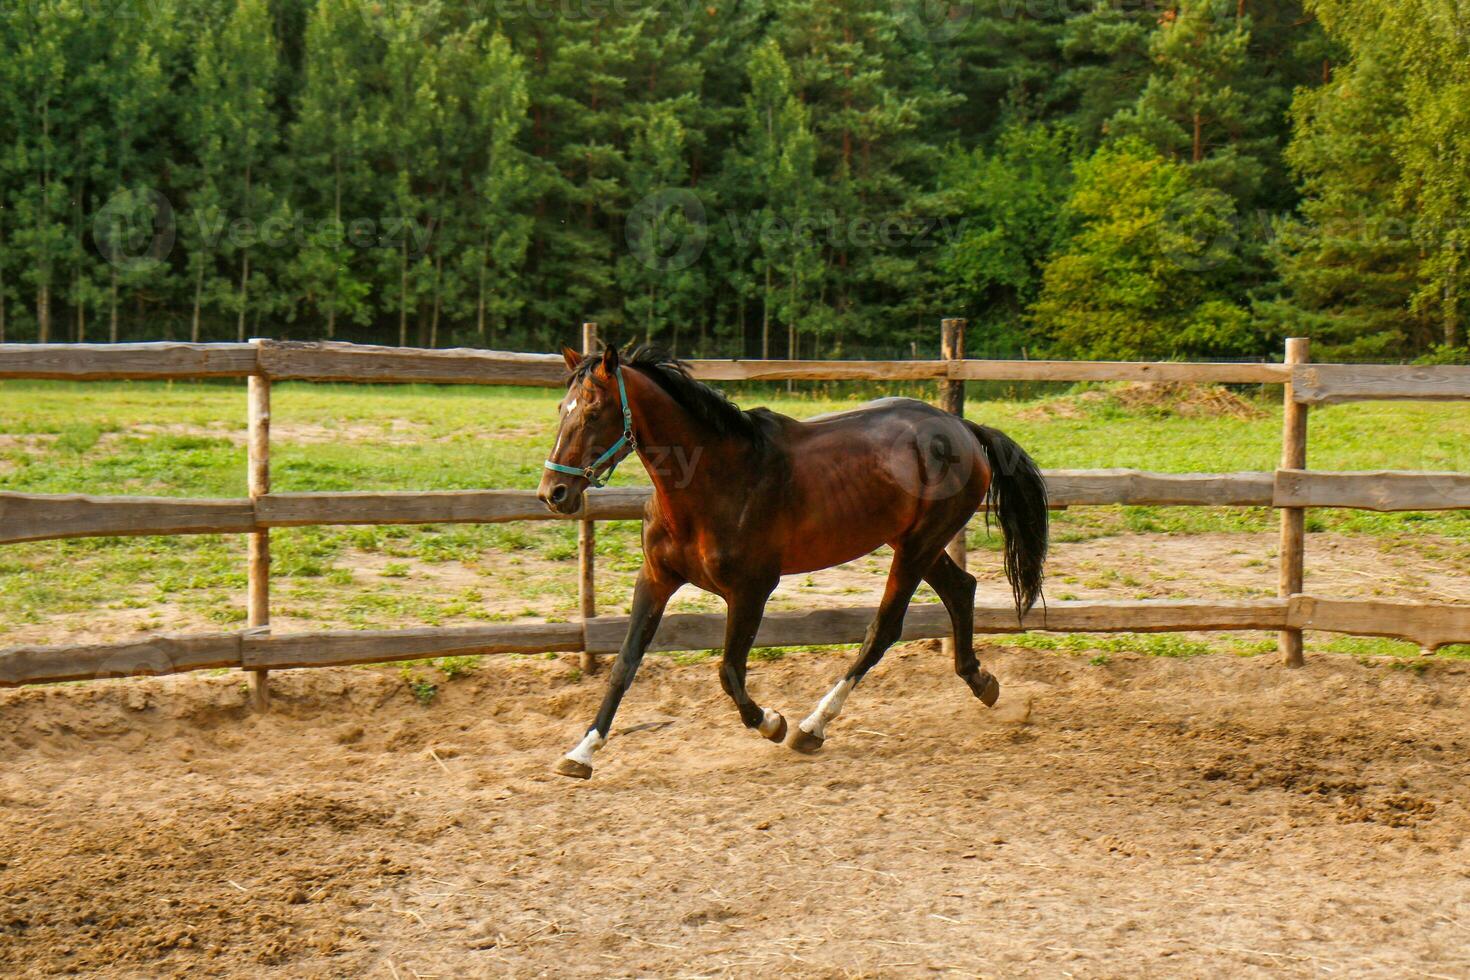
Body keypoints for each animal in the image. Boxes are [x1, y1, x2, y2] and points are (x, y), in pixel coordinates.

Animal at [538, 345, 1046, 781]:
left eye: (593, 413)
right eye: (561, 408)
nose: (553, 493)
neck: (713, 484)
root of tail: (964, 429)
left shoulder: (751, 590)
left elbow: (729, 671)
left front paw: (773, 723)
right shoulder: (656, 578)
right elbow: (625, 663)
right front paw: (580, 753)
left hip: (918, 547)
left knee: (883, 630)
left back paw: (810, 727)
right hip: (915, 543)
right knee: (962, 589)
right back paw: (983, 684)